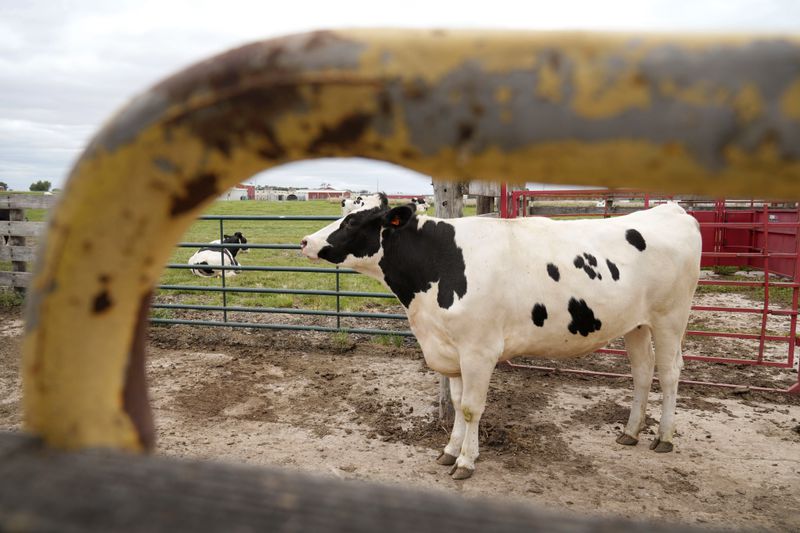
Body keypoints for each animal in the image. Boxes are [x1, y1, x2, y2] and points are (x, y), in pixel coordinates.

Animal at [300, 198, 700, 478]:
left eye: (354, 221)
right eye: (345, 210)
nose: (304, 241)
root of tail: (670, 209)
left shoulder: (479, 350)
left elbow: (470, 407)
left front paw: (465, 461)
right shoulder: (453, 350)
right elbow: (457, 402)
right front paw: (450, 450)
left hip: (670, 318)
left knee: (669, 373)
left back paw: (664, 438)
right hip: (636, 324)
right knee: (642, 371)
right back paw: (630, 432)